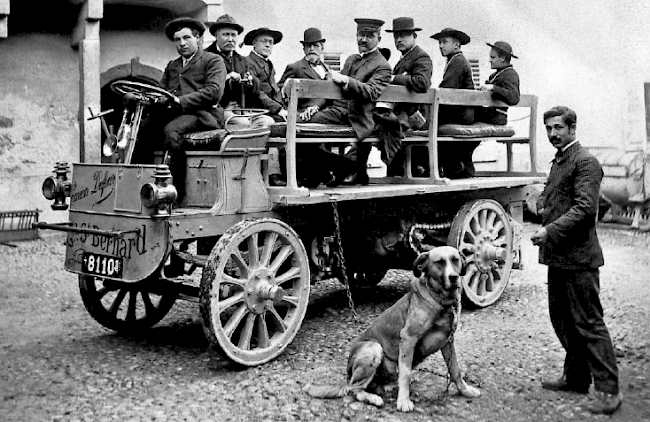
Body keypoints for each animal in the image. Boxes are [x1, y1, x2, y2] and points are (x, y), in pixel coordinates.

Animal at [302, 246, 478, 410]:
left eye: (455, 260)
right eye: (439, 262)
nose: (454, 277)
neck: (441, 300)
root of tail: (347, 375)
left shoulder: (448, 341)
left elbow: (455, 369)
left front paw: (465, 390)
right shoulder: (408, 338)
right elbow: (406, 374)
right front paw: (404, 401)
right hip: (374, 348)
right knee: (354, 389)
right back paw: (373, 398)